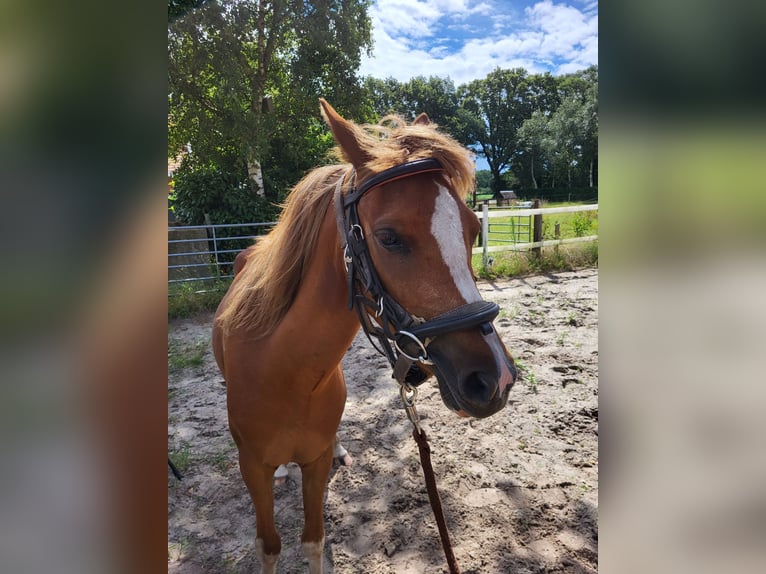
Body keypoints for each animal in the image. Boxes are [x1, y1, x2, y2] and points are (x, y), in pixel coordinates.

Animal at [213, 101, 520, 572]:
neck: (283, 369)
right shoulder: (252, 469)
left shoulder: (316, 464)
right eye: (389, 238)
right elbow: (269, 546)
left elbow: (313, 541)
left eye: (472, 230)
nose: (496, 378)